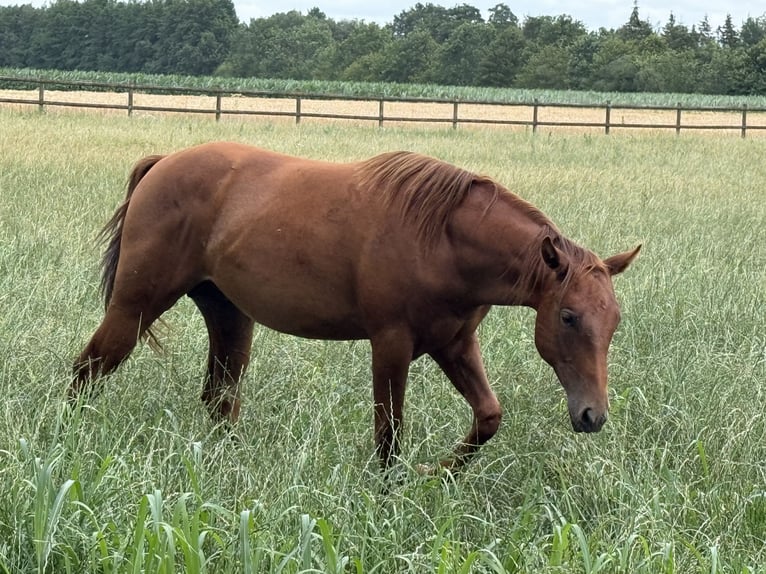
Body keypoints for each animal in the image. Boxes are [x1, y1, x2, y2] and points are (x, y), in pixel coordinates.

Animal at [72, 142, 640, 471]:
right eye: (567, 317)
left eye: (613, 322)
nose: (593, 415)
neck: (443, 239)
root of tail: (162, 163)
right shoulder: (390, 345)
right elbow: (389, 435)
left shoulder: (455, 344)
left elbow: (488, 417)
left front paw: (439, 474)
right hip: (135, 307)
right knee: (88, 370)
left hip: (231, 317)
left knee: (219, 399)